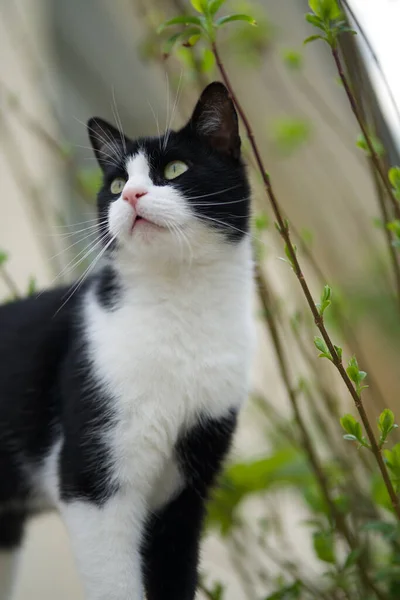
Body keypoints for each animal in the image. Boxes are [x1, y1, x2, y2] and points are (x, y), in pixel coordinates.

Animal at [0, 82, 253, 596]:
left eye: (175, 169)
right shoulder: (92, 482)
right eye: (116, 184)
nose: (132, 194)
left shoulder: (184, 492)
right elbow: (115, 584)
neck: (181, 309)